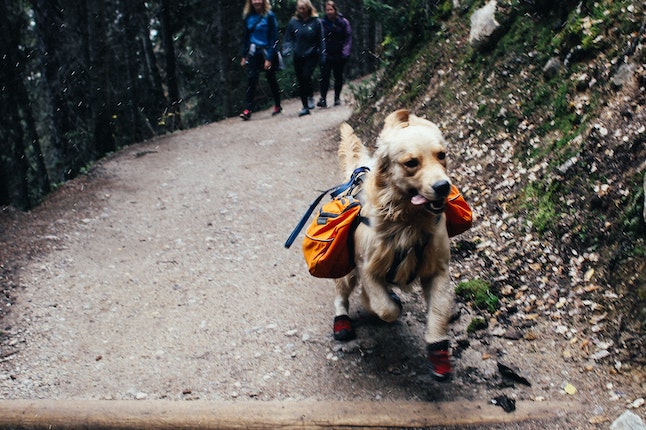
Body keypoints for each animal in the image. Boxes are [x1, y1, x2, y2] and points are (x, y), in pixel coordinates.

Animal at [334, 109, 456, 382]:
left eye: (441, 155)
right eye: (411, 162)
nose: (443, 187)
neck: (408, 222)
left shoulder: (438, 270)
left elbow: (439, 313)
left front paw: (438, 351)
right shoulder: (367, 267)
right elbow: (385, 308)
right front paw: (376, 304)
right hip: (346, 272)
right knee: (341, 295)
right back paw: (341, 320)